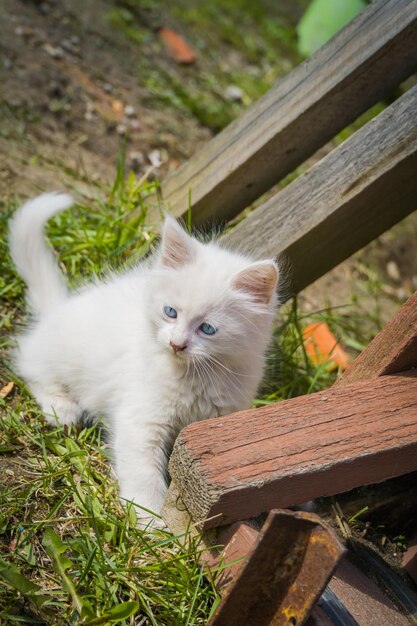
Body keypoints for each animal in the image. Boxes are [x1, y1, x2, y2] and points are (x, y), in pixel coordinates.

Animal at [8, 193, 280, 524]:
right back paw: (61, 407)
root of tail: (57, 310)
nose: (177, 344)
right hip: (58, 355)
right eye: (170, 312)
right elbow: (144, 477)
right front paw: (151, 523)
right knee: (29, 364)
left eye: (207, 329)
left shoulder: (220, 416)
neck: (194, 376)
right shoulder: (140, 420)